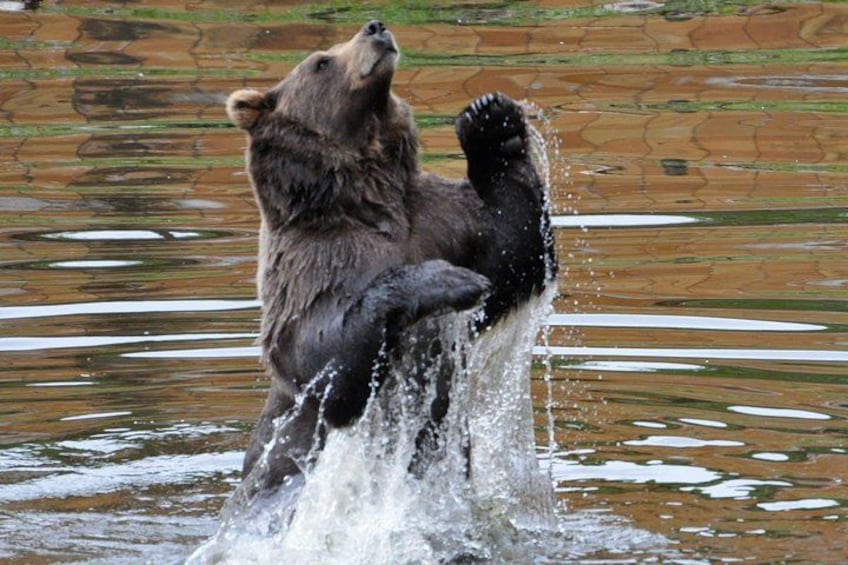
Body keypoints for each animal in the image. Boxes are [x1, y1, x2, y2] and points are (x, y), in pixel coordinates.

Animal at [225, 19, 556, 498]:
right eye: (321, 62)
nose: (375, 27)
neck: (368, 195)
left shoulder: (443, 218)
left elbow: (515, 254)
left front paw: (492, 120)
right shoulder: (314, 261)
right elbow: (319, 352)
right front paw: (450, 280)